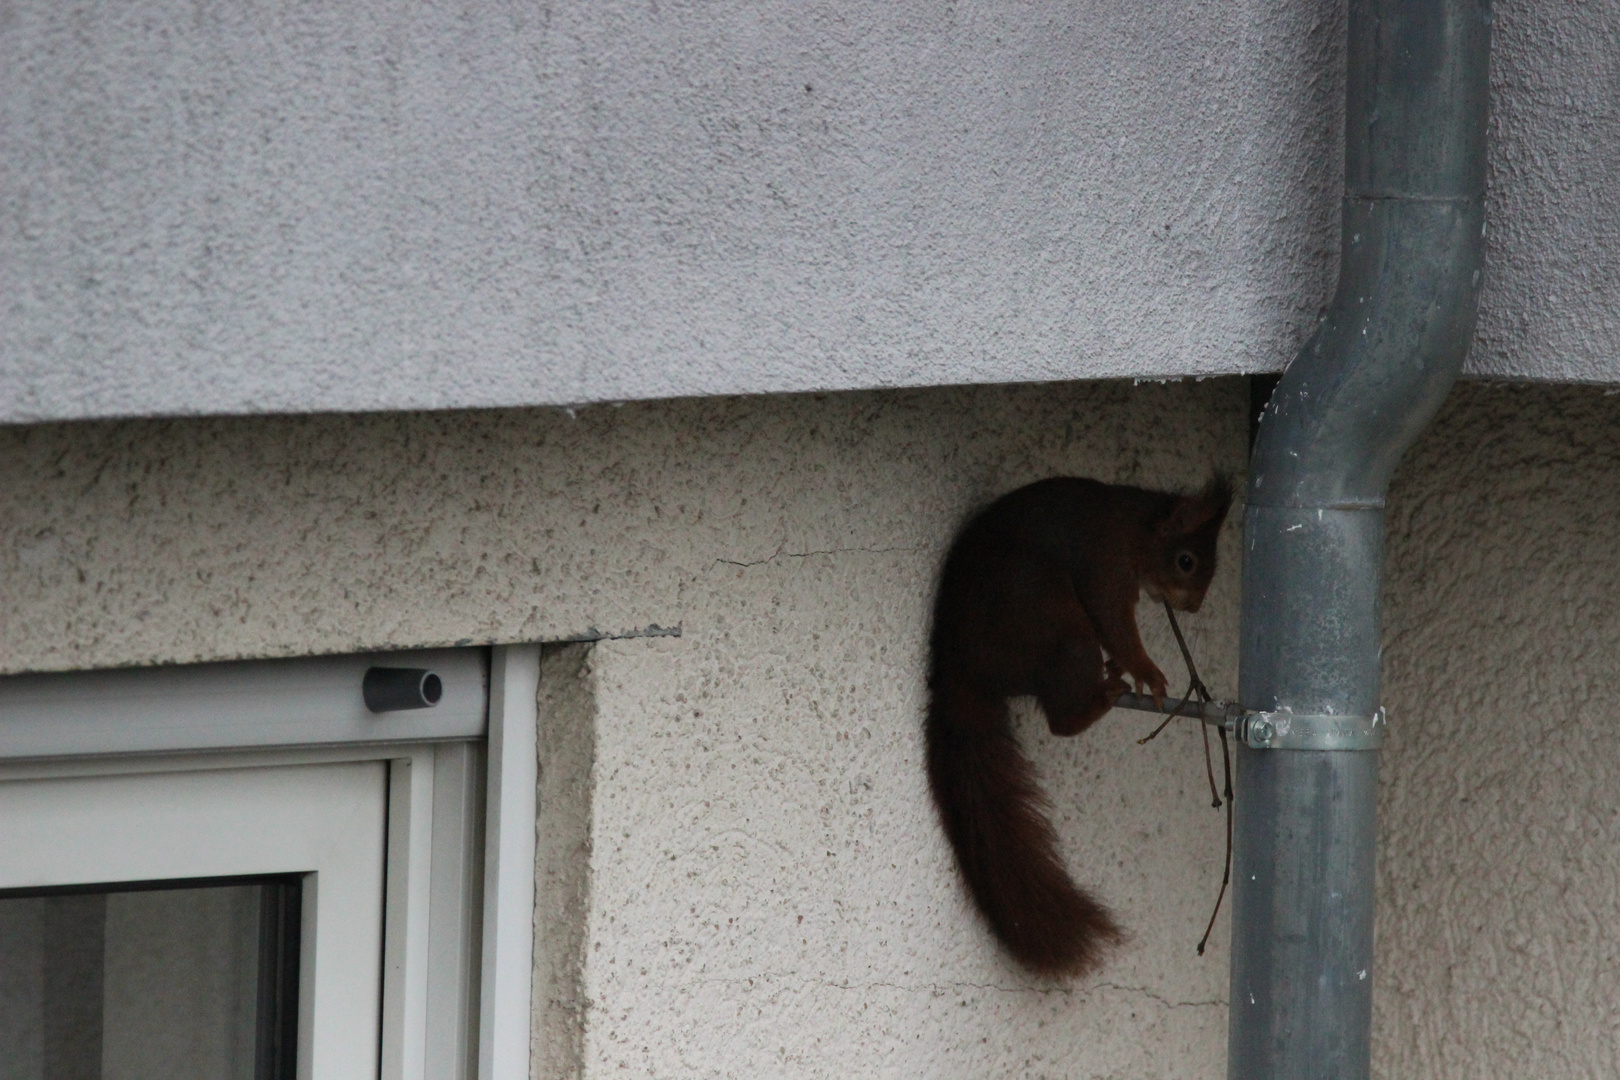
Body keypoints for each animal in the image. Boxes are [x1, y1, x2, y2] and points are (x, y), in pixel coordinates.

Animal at [926, 476, 1224, 977]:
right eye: (1186, 561)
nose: (1197, 607)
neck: (1135, 527)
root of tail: (963, 668)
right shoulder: (1104, 564)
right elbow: (1114, 621)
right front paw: (1147, 672)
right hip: (1056, 625)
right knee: (1061, 717)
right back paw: (1099, 698)